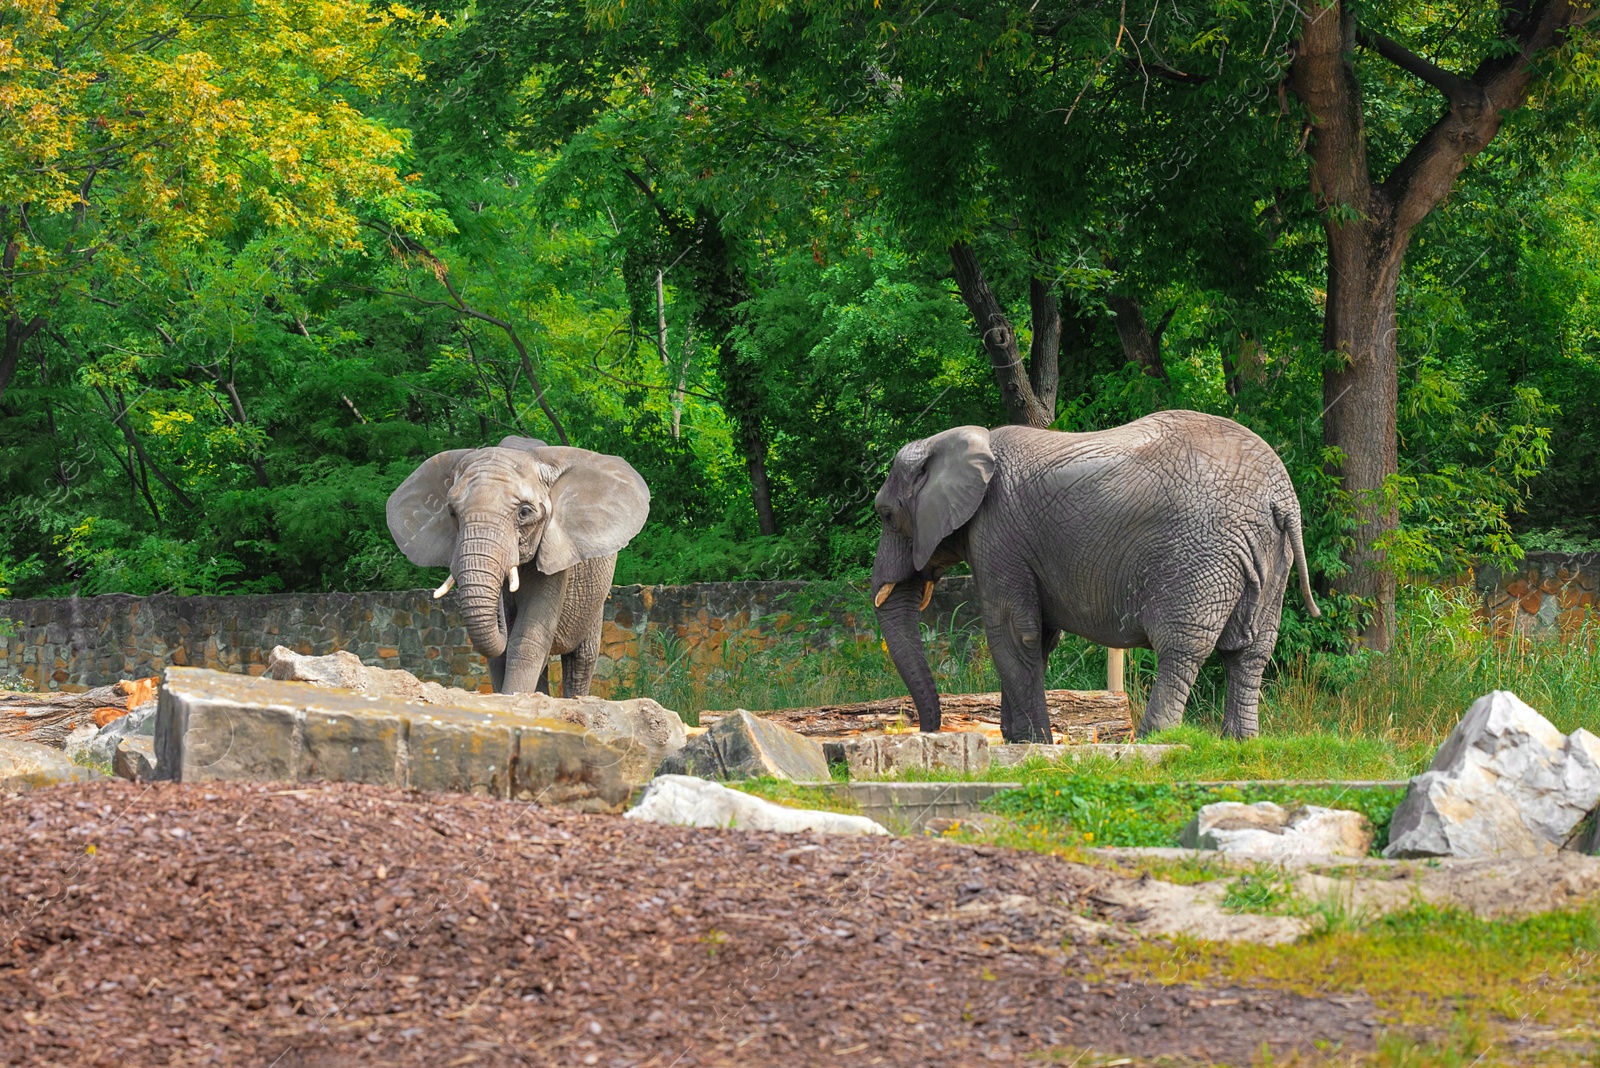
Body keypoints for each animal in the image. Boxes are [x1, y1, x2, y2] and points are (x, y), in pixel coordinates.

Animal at [387, 434, 649, 697]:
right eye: (452, 512)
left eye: (524, 513)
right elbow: (500, 655)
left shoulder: (556, 555)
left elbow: (527, 638)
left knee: (582, 659)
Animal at [870, 409, 1318, 741]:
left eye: (887, 515)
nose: (927, 731)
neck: (959, 441)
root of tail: (1280, 497)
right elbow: (1039, 637)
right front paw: (1020, 741)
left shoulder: (997, 535)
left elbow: (1013, 633)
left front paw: (1034, 743)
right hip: (1272, 555)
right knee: (1251, 650)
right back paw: (1239, 742)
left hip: (1202, 554)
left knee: (1182, 648)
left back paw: (1154, 739)